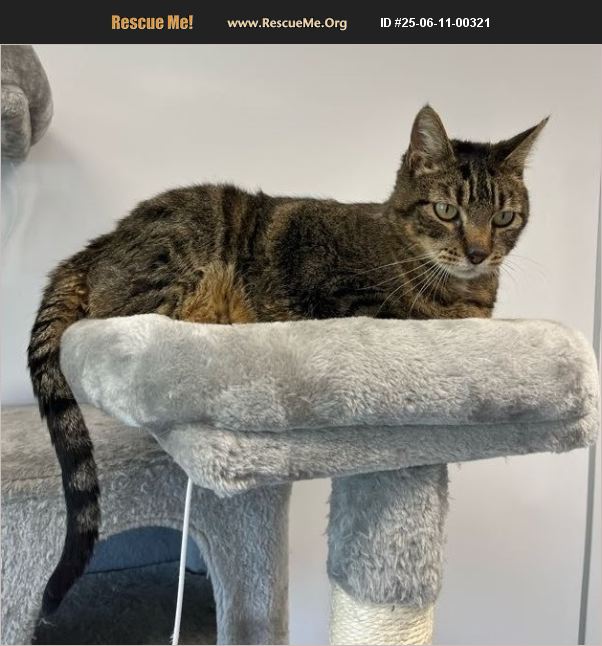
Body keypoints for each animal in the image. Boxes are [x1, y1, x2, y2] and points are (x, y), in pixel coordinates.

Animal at [28, 105, 546, 613]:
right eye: (446, 210)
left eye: (504, 217)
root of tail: (99, 244)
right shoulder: (351, 297)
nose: (478, 253)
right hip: (176, 259)